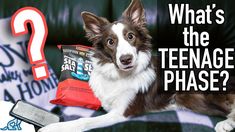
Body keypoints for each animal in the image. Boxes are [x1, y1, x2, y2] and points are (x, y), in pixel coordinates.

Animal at [39, 0, 235, 132]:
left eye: (131, 36)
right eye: (110, 42)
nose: (126, 59)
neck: (119, 75)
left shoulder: (120, 113)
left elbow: (83, 121)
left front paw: (52, 127)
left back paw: (226, 123)